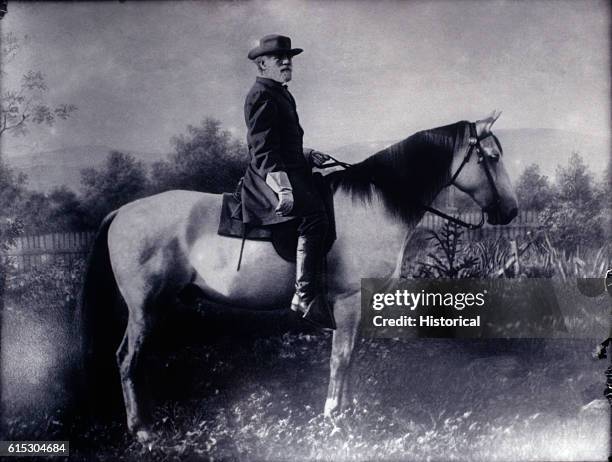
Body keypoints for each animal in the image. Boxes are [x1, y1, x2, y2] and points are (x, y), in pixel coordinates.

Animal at [79, 112, 512, 440]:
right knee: (127, 358)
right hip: (144, 308)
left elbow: (350, 357)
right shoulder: (347, 302)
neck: (375, 204)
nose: (509, 211)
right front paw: (334, 416)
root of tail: (122, 211)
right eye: (490, 157)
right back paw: (142, 429)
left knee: (139, 359)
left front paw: (349, 411)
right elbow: (341, 358)